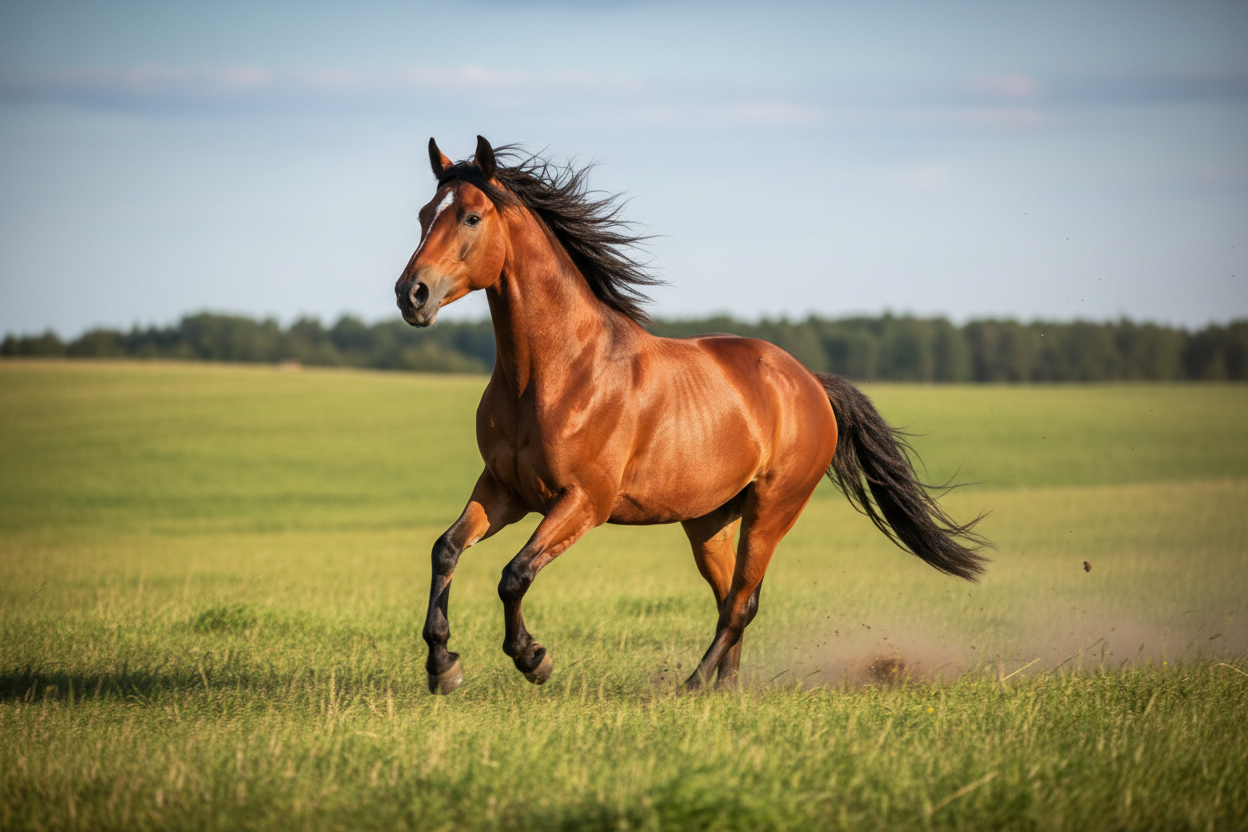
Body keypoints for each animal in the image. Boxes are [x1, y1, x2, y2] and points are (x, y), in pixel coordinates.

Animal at [395, 136, 988, 694]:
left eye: (471, 216)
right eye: (424, 214)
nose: (411, 294)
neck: (555, 373)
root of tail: (810, 384)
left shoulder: (583, 502)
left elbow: (514, 574)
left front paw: (532, 659)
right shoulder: (505, 490)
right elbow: (446, 550)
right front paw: (442, 666)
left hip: (772, 510)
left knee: (742, 602)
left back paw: (694, 685)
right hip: (710, 521)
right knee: (732, 597)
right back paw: (726, 688)